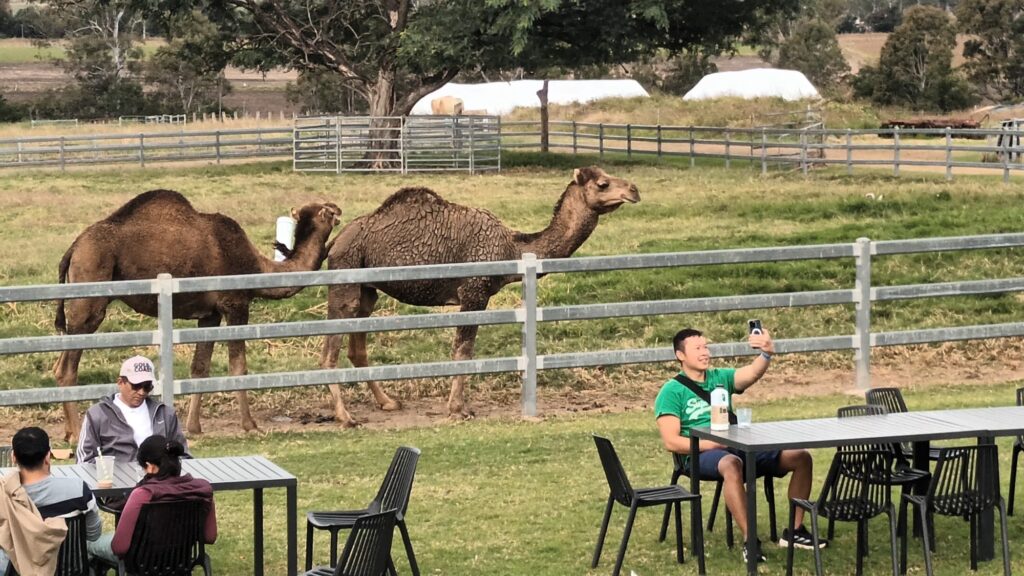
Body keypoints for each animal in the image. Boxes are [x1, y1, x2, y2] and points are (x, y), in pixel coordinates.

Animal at [53, 190, 341, 441]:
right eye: (327, 211)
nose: (339, 209)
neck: (256, 266)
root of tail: (74, 248)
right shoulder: (235, 304)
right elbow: (238, 366)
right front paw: (250, 425)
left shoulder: (209, 315)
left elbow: (199, 368)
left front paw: (193, 427)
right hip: (90, 294)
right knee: (67, 368)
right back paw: (76, 433)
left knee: (60, 365)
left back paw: (68, 431)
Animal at [319, 166, 639, 426]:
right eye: (602, 184)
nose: (634, 190)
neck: (511, 248)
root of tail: (336, 241)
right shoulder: (474, 292)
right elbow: (463, 350)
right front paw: (457, 410)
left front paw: (459, 407)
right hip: (346, 276)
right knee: (330, 351)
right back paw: (345, 416)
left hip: (367, 289)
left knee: (357, 347)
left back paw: (387, 402)